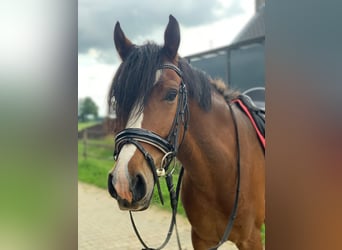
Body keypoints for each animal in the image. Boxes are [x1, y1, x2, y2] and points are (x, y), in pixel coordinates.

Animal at [107, 16, 264, 250]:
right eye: (118, 99)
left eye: (172, 94)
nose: (124, 182)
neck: (221, 173)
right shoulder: (201, 239)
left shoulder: (251, 239)